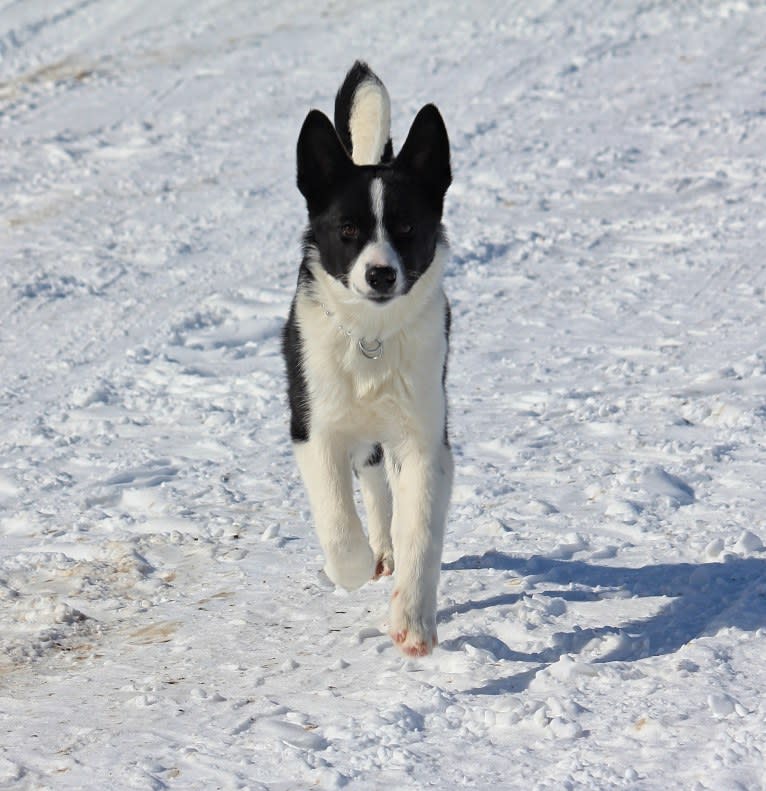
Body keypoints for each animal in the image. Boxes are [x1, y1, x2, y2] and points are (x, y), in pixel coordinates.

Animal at [282, 60, 452, 656]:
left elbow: (420, 525)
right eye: (348, 229)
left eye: (406, 227)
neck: (370, 337)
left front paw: (413, 621)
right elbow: (337, 521)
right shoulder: (313, 428)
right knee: (369, 479)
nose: (380, 274)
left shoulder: (425, 437)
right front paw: (352, 568)